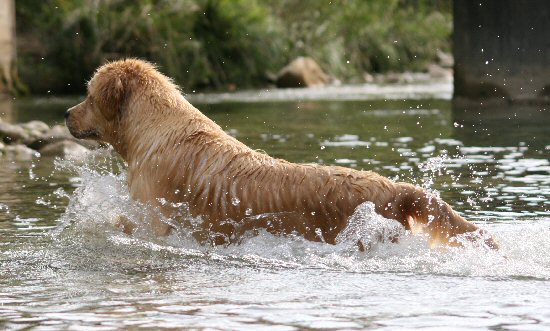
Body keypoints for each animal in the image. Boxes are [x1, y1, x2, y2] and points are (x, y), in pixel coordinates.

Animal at [66, 59, 500, 250]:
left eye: (88, 94)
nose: (66, 114)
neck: (155, 128)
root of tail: (395, 188)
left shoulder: (156, 220)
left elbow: (120, 223)